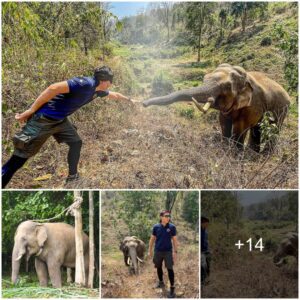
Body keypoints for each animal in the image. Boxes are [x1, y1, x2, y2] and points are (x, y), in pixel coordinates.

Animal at [144, 63, 290, 152]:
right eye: (204, 78)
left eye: (227, 87)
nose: (143, 104)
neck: (245, 77)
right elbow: (223, 122)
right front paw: (224, 148)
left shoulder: (252, 104)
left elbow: (241, 127)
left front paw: (235, 155)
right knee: (257, 128)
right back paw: (253, 152)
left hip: (283, 108)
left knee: (275, 127)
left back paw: (264, 154)